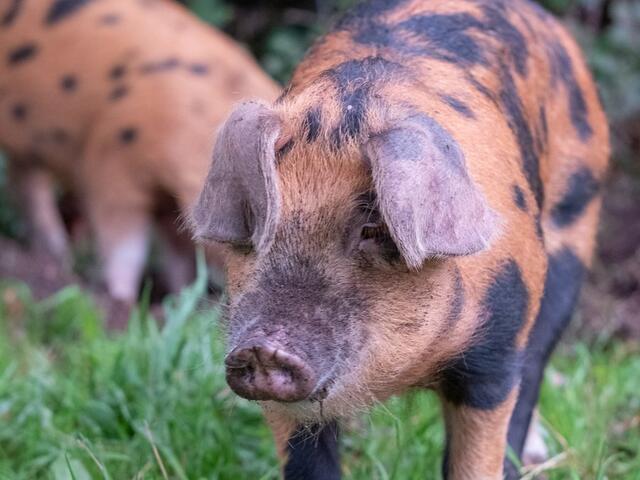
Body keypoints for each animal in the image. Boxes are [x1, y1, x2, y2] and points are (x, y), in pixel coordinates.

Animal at [0, 0, 280, 302]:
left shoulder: (169, 205)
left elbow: (178, 254)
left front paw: (178, 296)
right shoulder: (110, 159)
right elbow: (123, 241)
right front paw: (123, 299)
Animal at [191, 0, 609, 478]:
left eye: (373, 229)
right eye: (262, 218)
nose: (264, 348)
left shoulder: (496, 355)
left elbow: (480, 449)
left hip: (575, 221)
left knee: (537, 362)